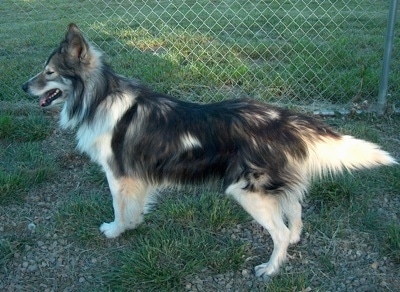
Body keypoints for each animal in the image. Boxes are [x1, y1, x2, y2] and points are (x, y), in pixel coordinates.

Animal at [22, 23, 396, 278]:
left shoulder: (118, 175)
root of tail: (280, 117)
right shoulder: (137, 178)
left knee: (279, 230)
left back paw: (271, 269)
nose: (23, 86)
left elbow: (118, 208)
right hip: (273, 186)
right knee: (295, 211)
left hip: (248, 192)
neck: (98, 98)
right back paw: (293, 243)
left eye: (49, 72)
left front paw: (116, 231)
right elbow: (136, 208)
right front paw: (133, 226)